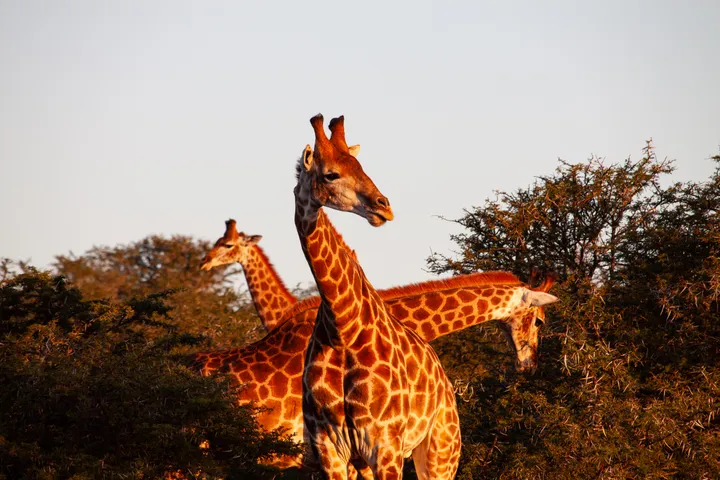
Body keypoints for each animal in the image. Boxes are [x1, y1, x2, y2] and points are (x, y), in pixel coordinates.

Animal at [296, 113, 460, 480]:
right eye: (331, 174)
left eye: (361, 166)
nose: (384, 207)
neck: (342, 329)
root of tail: (444, 381)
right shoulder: (330, 448)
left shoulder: (385, 445)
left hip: (441, 450)